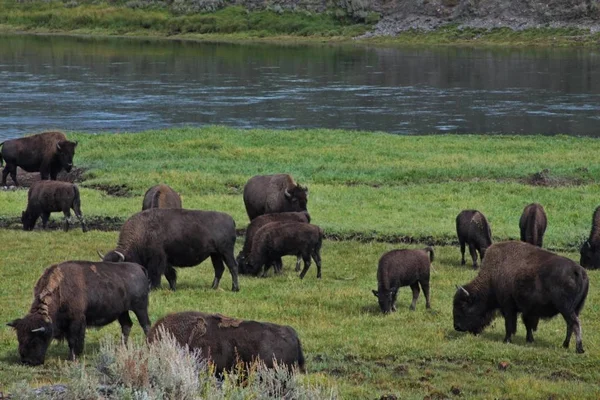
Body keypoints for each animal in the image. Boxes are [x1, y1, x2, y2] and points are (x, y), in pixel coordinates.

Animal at [7, 260, 151, 364]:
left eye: (34, 339)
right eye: (19, 338)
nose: (27, 361)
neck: (59, 290)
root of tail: (139, 267)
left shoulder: (76, 321)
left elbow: (73, 340)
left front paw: (72, 357)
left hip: (140, 308)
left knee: (145, 325)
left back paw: (148, 345)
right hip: (122, 312)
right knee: (127, 325)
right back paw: (121, 347)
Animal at [101, 209, 239, 290]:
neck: (142, 231)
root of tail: (231, 220)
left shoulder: (157, 259)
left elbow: (156, 273)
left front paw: (153, 288)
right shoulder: (165, 261)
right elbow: (170, 274)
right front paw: (173, 288)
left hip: (226, 252)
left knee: (233, 266)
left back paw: (235, 289)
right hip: (215, 254)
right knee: (219, 269)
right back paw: (213, 287)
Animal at [454, 241, 584, 354]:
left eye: (463, 306)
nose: (456, 327)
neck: (492, 276)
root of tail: (577, 270)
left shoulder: (508, 308)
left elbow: (509, 325)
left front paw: (506, 340)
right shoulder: (527, 310)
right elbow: (527, 325)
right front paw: (529, 340)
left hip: (566, 309)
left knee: (575, 324)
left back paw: (579, 349)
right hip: (574, 310)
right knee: (570, 325)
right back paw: (565, 345)